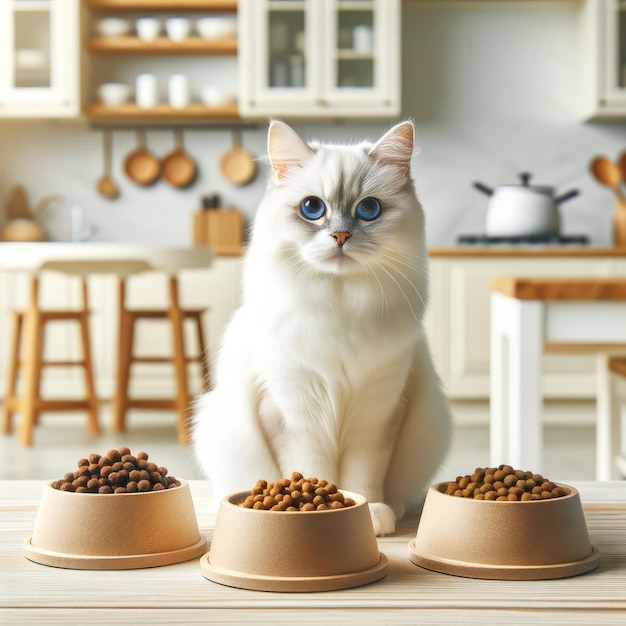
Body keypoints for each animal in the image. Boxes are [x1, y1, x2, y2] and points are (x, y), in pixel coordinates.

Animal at [190, 119, 448, 532]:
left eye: (369, 209)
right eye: (312, 208)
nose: (341, 236)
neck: (338, 306)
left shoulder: (377, 414)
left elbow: (363, 476)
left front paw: (371, 513)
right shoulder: (294, 413)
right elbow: (311, 470)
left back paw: (394, 509)